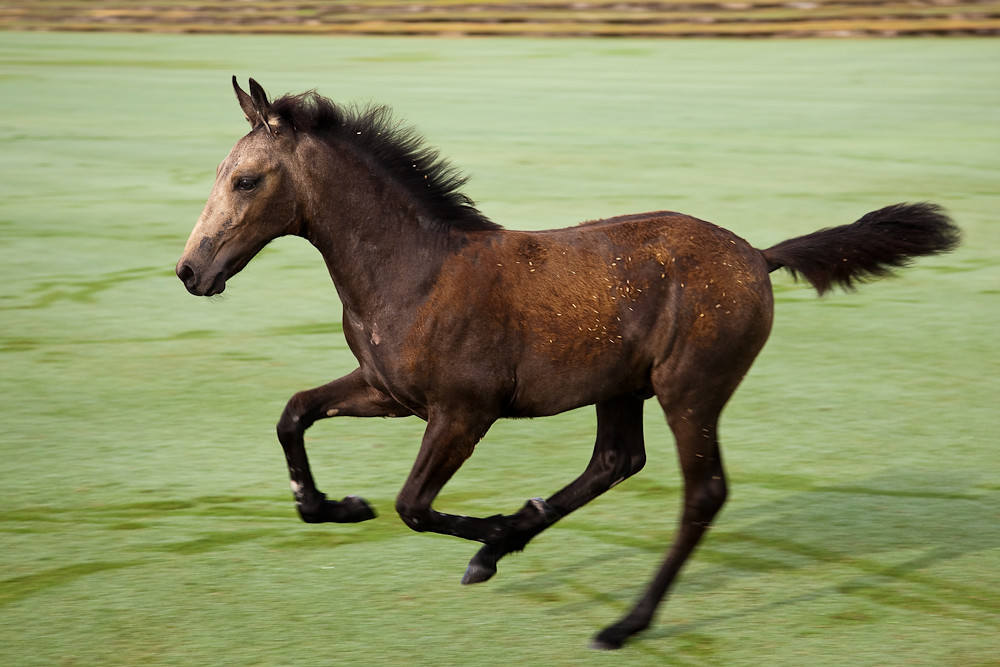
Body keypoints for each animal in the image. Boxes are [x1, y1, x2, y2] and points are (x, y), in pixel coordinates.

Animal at [176, 78, 960, 649]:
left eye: (245, 180)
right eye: (221, 173)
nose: (190, 271)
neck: (415, 270)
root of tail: (757, 256)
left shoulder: (463, 412)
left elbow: (414, 505)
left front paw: (487, 528)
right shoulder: (387, 389)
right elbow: (294, 413)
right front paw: (334, 506)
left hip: (690, 390)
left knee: (701, 491)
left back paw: (622, 620)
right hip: (623, 386)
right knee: (616, 460)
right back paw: (519, 541)